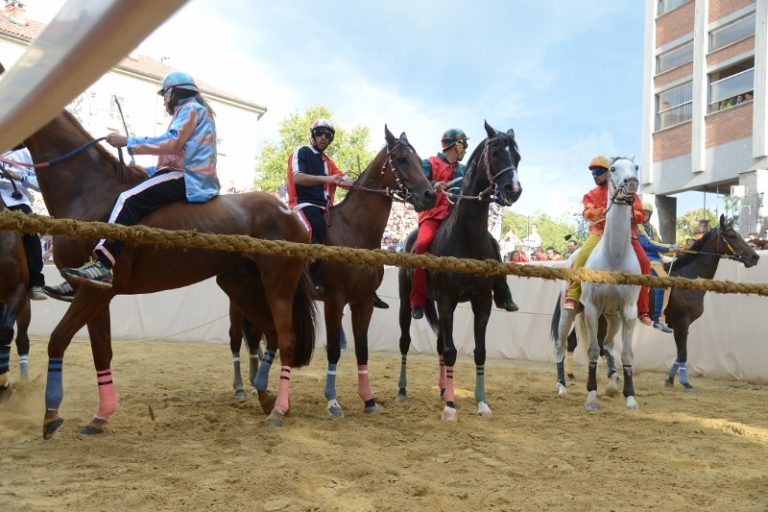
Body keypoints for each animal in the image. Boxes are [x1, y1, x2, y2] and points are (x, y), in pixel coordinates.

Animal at [25, 109, 316, 436]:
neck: (91, 193)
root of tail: (290, 213)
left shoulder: (94, 292)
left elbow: (58, 338)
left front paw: (51, 414)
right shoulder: (96, 292)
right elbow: (101, 351)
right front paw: (100, 416)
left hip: (278, 285)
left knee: (287, 339)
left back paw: (277, 410)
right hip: (242, 287)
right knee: (272, 335)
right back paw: (266, 396)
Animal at [396, 122, 520, 422]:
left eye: (518, 157)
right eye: (496, 153)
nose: (514, 188)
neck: (466, 237)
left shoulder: (482, 303)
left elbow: (479, 352)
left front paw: (481, 402)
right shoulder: (447, 301)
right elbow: (451, 351)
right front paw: (451, 406)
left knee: (440, 343)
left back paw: (443, 387)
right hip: (407, 303)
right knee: (405, 341)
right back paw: (403, 390)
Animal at [552, 157, 640, 412]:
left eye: (636, 167)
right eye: (613, 169)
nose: (631, 182)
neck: (614, 257)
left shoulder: (628, 311)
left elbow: (626, 354)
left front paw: (630, 398)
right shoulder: (591, 309)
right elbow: (591, 350)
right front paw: (591, 397)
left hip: (612, 317)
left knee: (609, 346)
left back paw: (611, 384)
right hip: (569, 314)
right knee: (561, 346)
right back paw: (561, 386)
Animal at [664, 214, 760, 390]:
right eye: (731, 235)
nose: (755, 257)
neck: (687, 279)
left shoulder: (683, 324)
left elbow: (680, 352)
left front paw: (670, 379)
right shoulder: (681, 321)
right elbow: (683, 353)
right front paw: (685, 382)